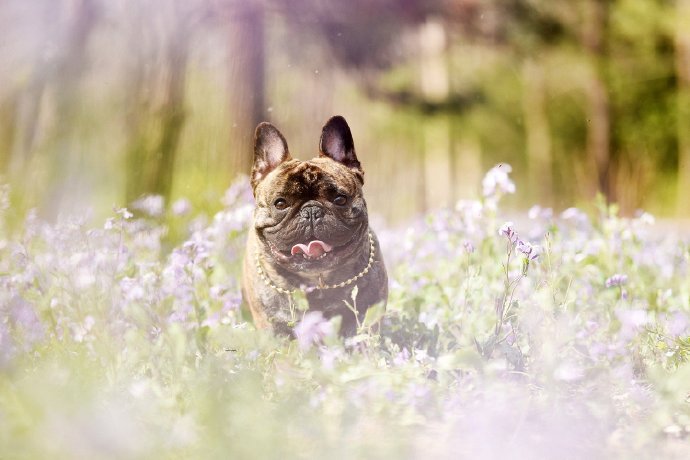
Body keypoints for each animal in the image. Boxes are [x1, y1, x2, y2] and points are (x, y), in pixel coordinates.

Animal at [242, 115, 384, 336]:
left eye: (339, 199)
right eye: (280, 203)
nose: (311, 211)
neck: (317, 280)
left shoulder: (367, 313)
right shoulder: (272, 325)